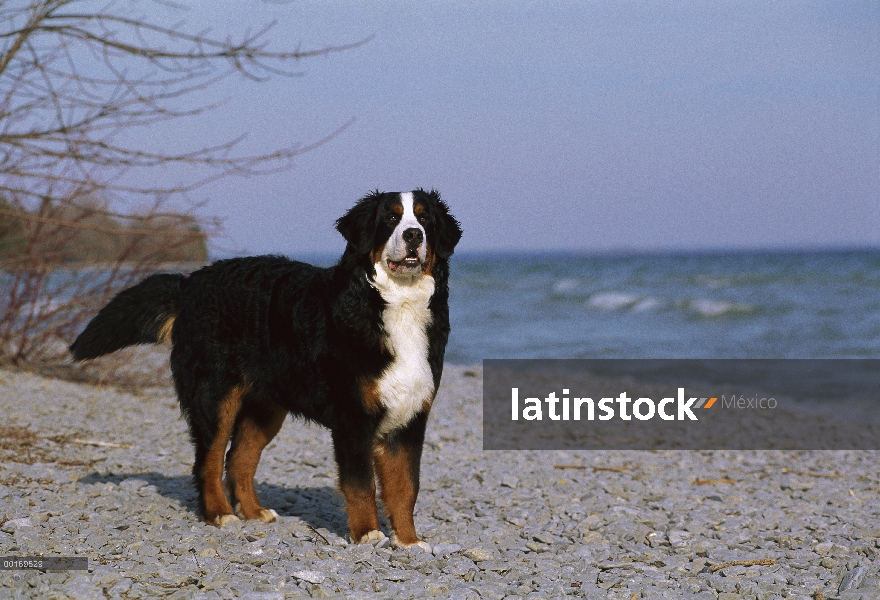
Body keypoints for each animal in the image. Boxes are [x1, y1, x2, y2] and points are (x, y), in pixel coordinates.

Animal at [70, 189, 460, 548]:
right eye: (391, 218)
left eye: (424, 219)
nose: (414, 236)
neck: (396, 304)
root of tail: (192, 282)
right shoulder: (354, 419)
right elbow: (361, 484)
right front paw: (368, 534)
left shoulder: (409, 418)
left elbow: (405, 487)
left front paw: (409, 541)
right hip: (215, 398)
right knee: (209, 461)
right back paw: (220, 514)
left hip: (265, 408)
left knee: (239, 460)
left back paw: (255, 512)